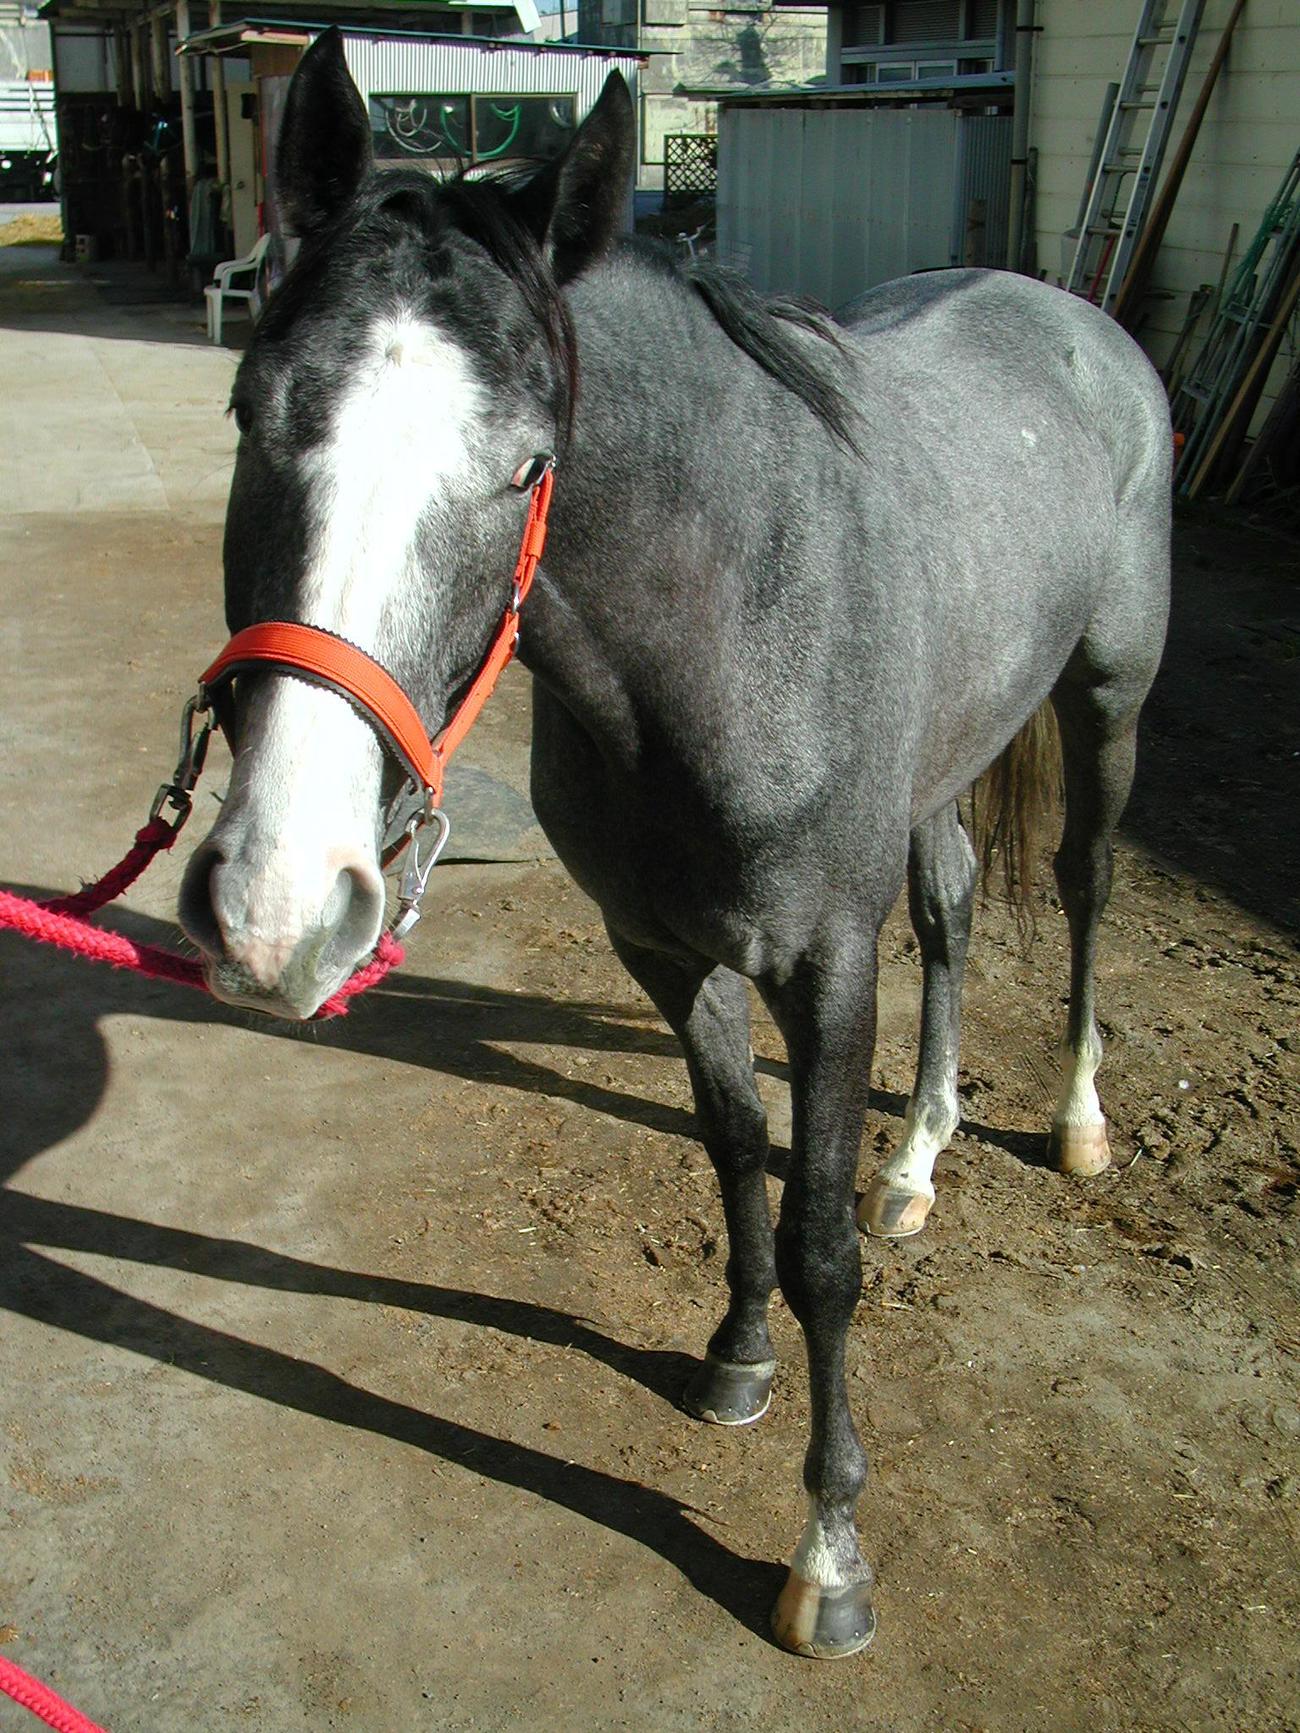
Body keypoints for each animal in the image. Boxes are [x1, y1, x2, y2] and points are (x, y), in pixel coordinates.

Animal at [178, 30, 1171, 1658]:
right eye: (253, 413)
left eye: (528, 467)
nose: (276, 907)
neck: (739, 612)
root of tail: (1072, 316)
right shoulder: (660, 948)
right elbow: (735, 1150)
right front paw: (736, 1357)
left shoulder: (826, 966)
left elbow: (821, 1239)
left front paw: (829, 1555)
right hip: (946, 764)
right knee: (956, 911)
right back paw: (922, 1154)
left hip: (1106, 698)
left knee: (1082, 888)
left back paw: (1076, 1121)